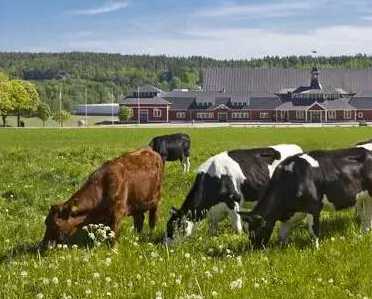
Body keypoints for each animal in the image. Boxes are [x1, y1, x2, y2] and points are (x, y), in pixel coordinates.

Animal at [165, 145, 302, 244]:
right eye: (167, 227)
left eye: (176, 226)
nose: (165, 246)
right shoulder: (214, 213)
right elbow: (212, 229)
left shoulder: (233, 202)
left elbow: (237, 227)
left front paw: (239, 237)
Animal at [240, 144, 372, 250]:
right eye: (246, 231)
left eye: (255, 230)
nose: (254, 249)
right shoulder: (289, 214)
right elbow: (282, 234)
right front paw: (282, 247)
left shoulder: (314, 207)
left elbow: (314, 231)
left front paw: (316, 249)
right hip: (364, 198)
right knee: (366, 216)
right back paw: (363, 234)